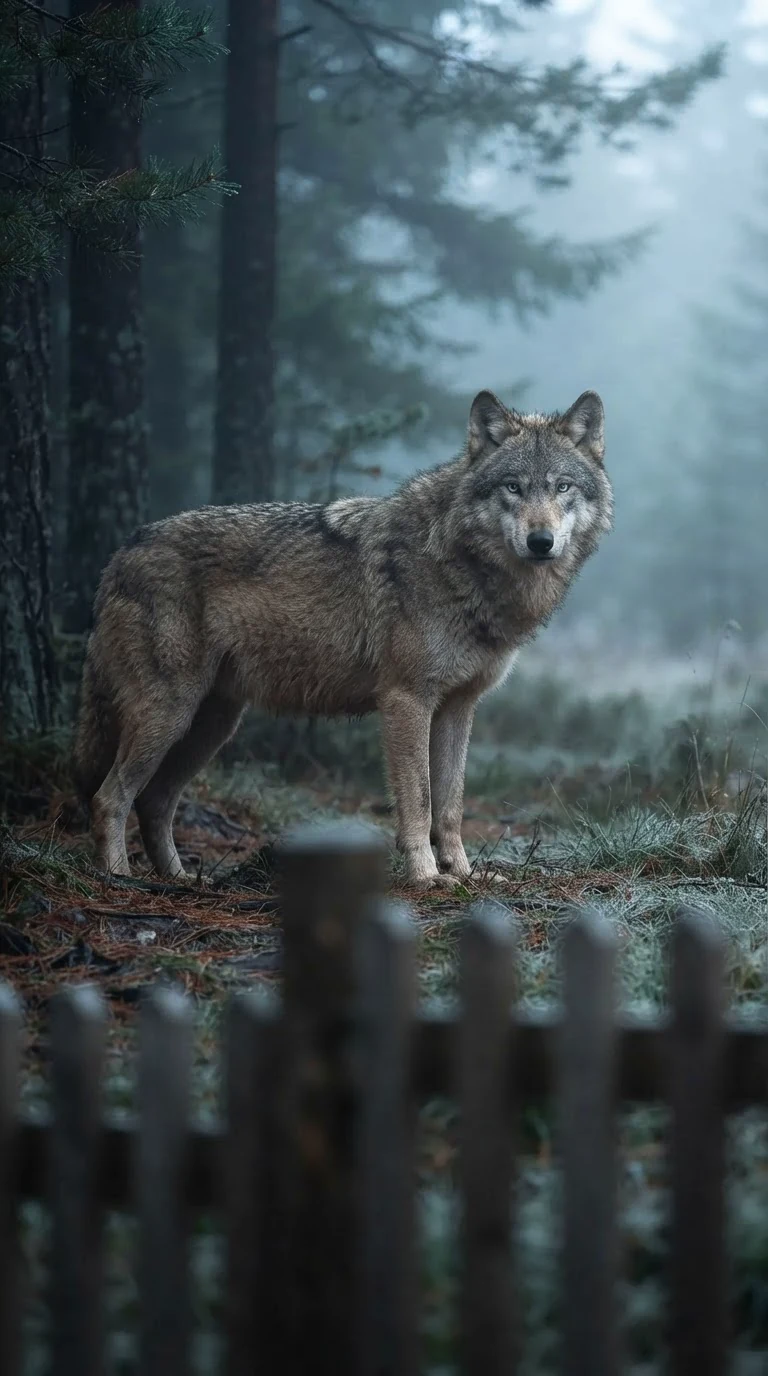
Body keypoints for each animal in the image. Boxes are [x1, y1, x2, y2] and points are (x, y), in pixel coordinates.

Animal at [73, 388, 612, 888]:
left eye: (562, 487)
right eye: (513, 487)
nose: (541, 541)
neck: (462, 565)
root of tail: (120, 553)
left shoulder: (459, 708)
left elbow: (451, 806)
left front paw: (465, 875)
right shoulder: (406, 701)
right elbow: (419, 802)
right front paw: (425, 877)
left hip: (211, 725)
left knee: (154, 801)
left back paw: (180, 879)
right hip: (169, 714)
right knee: (109, 797)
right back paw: (118, 877)